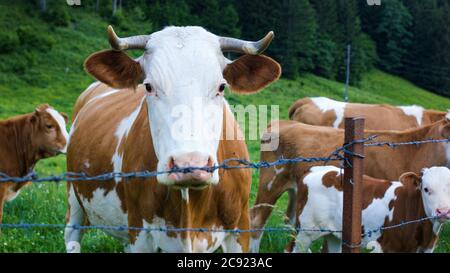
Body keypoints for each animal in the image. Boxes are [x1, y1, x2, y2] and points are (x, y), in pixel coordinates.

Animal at [65, 26, 282, 253]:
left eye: (221, 87)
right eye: (148, 86)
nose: (189, 164)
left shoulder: (240, 229)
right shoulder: (139, 233)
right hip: (73, 195)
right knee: (72, 234)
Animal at [286, 165, 448, 252]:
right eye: (426, 189)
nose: (443, 211)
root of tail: (315, 169)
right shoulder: (386, 246)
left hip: (334, 233)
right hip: (305, 231)